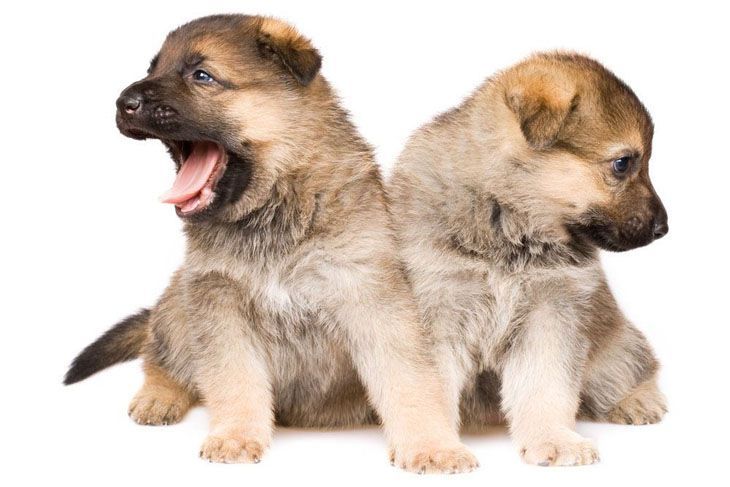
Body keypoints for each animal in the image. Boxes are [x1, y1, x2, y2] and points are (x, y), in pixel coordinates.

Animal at [64, 14, 478, 472]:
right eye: (153, 69)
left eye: (201, 75)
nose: (124, 102)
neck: (276, 208)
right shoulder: (217, 301)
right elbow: (234, 378)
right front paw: (236, 435)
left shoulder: (373, 297)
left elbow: (410, 380)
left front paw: (431, 445)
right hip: (177, 302)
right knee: (159, 355)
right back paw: (158, 396)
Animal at [386, 51, 664, 468]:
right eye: (623, 163)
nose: (664, 227)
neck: (507, 219)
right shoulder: (438, 310)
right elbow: (425, 391)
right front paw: (432, 446)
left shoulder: (550, 314)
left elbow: (545, 385)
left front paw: (553, 439)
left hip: (614, 341)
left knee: (630, 366)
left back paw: (638, 399)